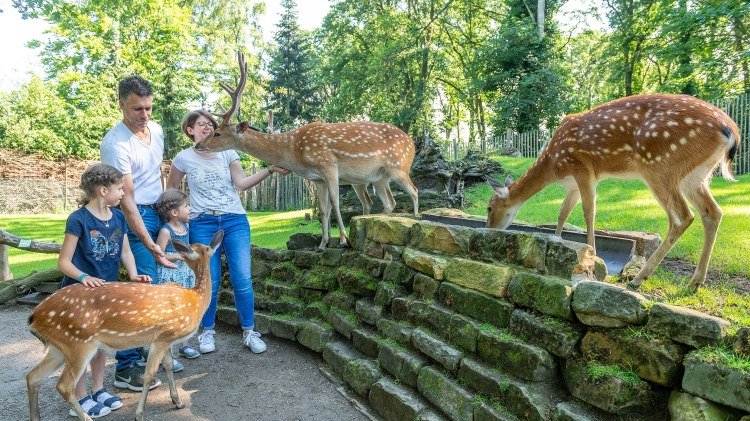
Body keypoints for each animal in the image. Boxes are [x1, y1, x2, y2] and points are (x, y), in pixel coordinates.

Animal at [27, 230, 226, 420]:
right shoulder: (163, 337)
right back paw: (87, 417)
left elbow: (169, 366)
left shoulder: (166, 339)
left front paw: (177, 402)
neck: (196, 299)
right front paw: (139, 414)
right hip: (78, 342)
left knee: (33, 377)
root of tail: (34, 317)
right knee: (64, 386)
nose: (177, 254)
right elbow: (149, 375)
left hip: (60, 347)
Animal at [197, 51, 420, 249]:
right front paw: (322, 244)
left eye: (217, 133)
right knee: (390, 202)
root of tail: (412, 143)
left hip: (399, 166)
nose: (198, 145)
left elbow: (335, 204)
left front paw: (343, 240)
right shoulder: (317, 179)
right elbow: (322, 210)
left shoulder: (329, 166)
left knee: (414, 191)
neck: (295, 152)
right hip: (378, 178)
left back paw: (416, 221)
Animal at [488, 92, 740, 288]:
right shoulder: (574, 184)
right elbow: (563, 213)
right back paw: (695, 282)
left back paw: (638, 279)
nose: (489, 228)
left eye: (490, 207)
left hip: (659, 165)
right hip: (695, 176)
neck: (553, 164)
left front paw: (592, 254)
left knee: (683, 216)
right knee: (713, 212)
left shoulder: (583, 168)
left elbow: (589, 212)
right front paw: (557, 239)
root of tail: (732, 131)